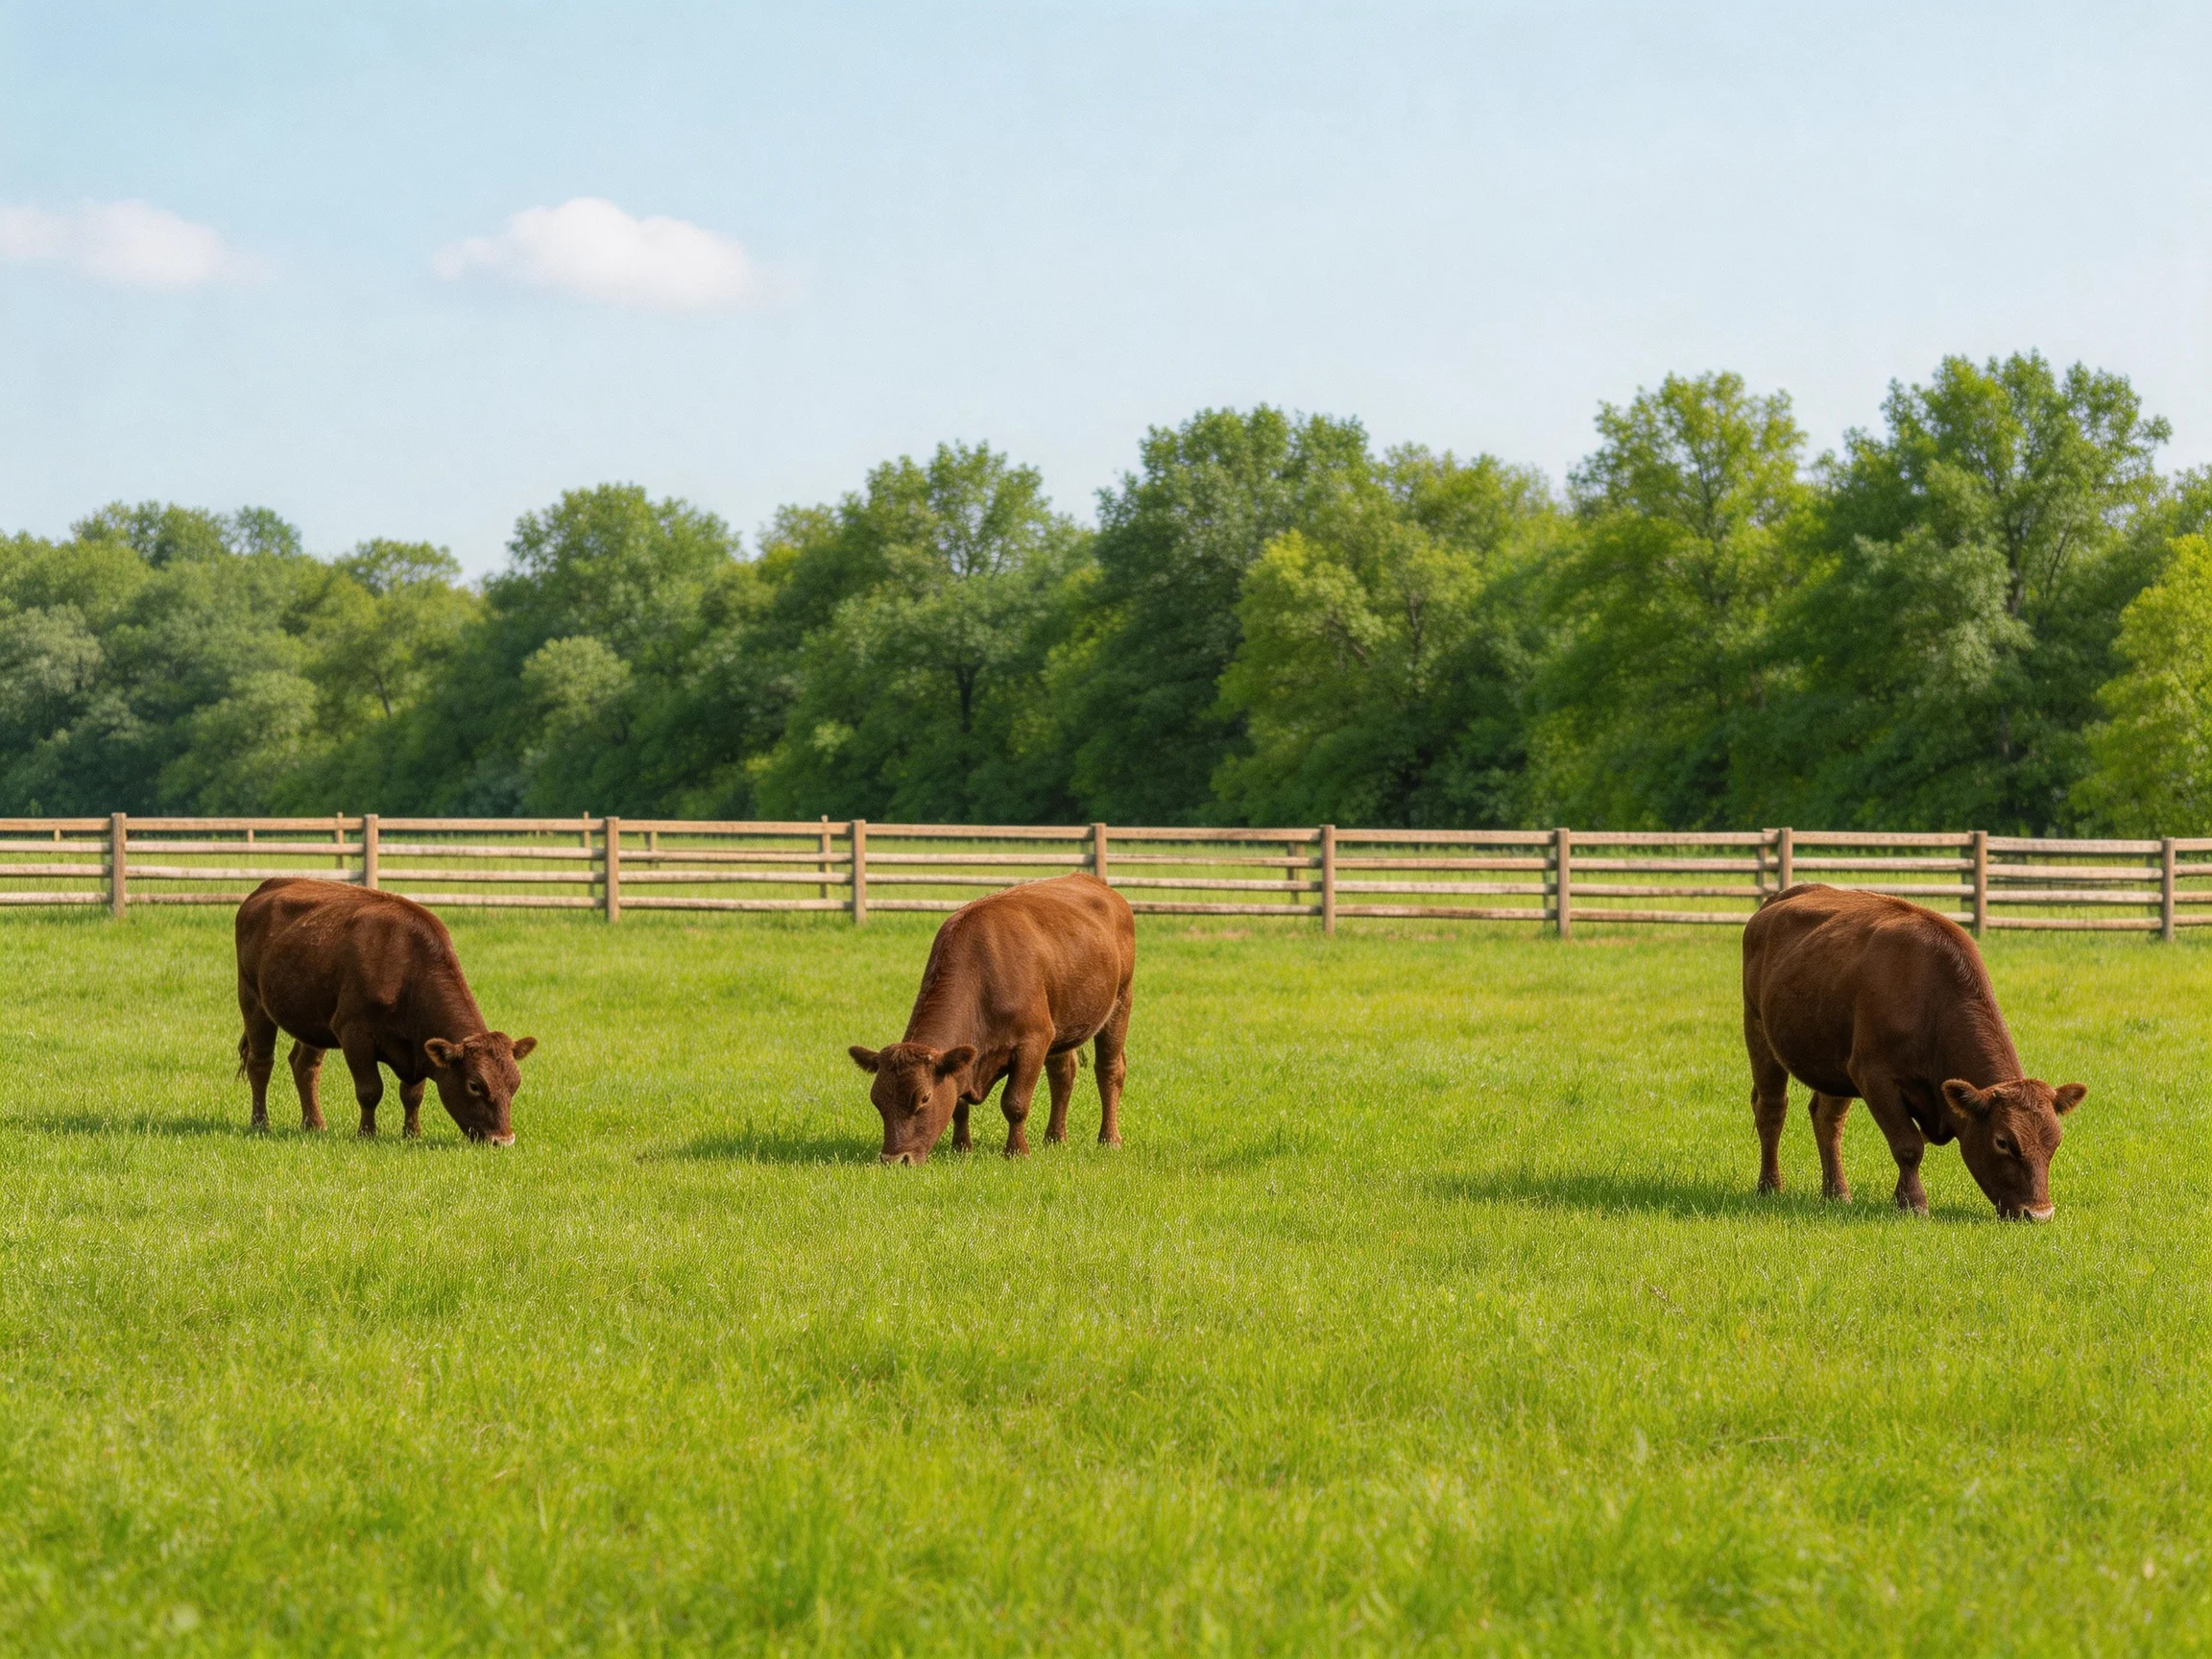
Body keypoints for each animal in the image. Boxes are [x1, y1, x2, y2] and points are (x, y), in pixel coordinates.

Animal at [235, 878, 537, 1144]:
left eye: (515, 1084)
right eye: (475, 1085)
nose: (503, 1140)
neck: (406, 967)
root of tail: (268, 885)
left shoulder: (417, 1045)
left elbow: (412, 1094)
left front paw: (412, 1134)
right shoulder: (354, 1034)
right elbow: (370, 1090)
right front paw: (367, 1134)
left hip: (312, 1019)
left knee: (305, 1066)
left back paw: (314, 1124)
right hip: (252, 1000)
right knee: (261, 1063)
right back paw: (260, 1123)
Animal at [848, 873, 1135, 1165]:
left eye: (924, 1098)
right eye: (877, 1101)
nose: (894, 1159)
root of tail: (1094, 882)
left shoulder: (1034, 1040)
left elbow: (1015, 1102)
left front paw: (1017, 1152)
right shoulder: (966, 1058)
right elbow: (959, 1105)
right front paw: (961, 1148)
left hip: (1120, 1000)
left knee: (1109, 1070)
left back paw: (1109, 1139)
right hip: (1064, 1021)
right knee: (1062, 1075)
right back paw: (1055, 1138)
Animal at [1741, 883, 2086, 1220]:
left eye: (2055, 1142)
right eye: (2003, 1141)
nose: (2039, 1213)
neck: (1930, 999)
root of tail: (1780, 897)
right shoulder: (1874, 1077)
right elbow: (1909, 1146)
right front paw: (1913, 1203)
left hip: (1833, 1060)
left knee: (1828, 1119)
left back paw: (1837, 1193)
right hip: (1758, 1031)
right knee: (1771, 1108)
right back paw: (1770, 1186)